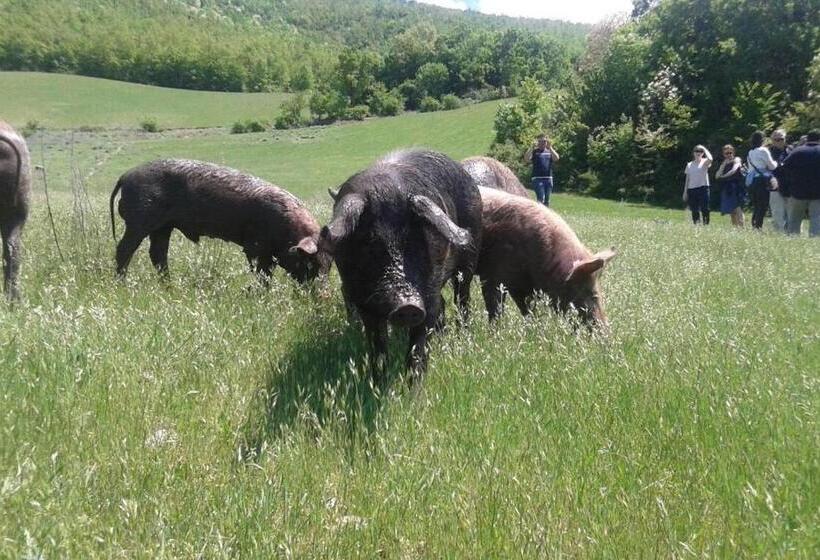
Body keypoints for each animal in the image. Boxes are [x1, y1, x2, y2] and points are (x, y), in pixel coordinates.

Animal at [110, 159, 328, 283]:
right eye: (310, 263)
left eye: (329, 266)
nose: (319, 295)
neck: (289, 230)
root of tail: (125, 176)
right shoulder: (255, 246)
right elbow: (261, 272)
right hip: (139, 221)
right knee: (124, 249)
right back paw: (121, 283)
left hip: (164, 226)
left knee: (157, 253)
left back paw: (168, 285)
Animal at [320, 149, 482, 375]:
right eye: (370, 242)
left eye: (414, 240)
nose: (408, 306)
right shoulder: (362, 300)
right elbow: (377, 345)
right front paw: (379, 379)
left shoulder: (428, 293)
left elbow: (418, 344)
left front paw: (415, 383)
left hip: (469, 258)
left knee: (462, 297)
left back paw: (462, 336)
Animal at [477, 186, 615, 326]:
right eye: (593, 294)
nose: (605, 329)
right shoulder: (493, 272)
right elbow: (495, 306)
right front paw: (495, 328)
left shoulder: (521, 286)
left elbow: (529, 308)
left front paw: (533, 326)